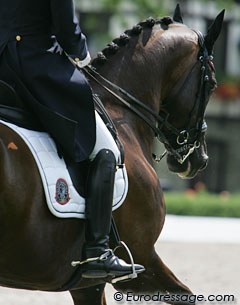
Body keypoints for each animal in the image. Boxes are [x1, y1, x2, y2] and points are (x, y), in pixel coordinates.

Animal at [0, 4, 223, 304]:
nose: (200, 159)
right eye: (212, 84)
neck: (122, 110)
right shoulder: (142, 259)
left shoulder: (86, 284)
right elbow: (187, 295)